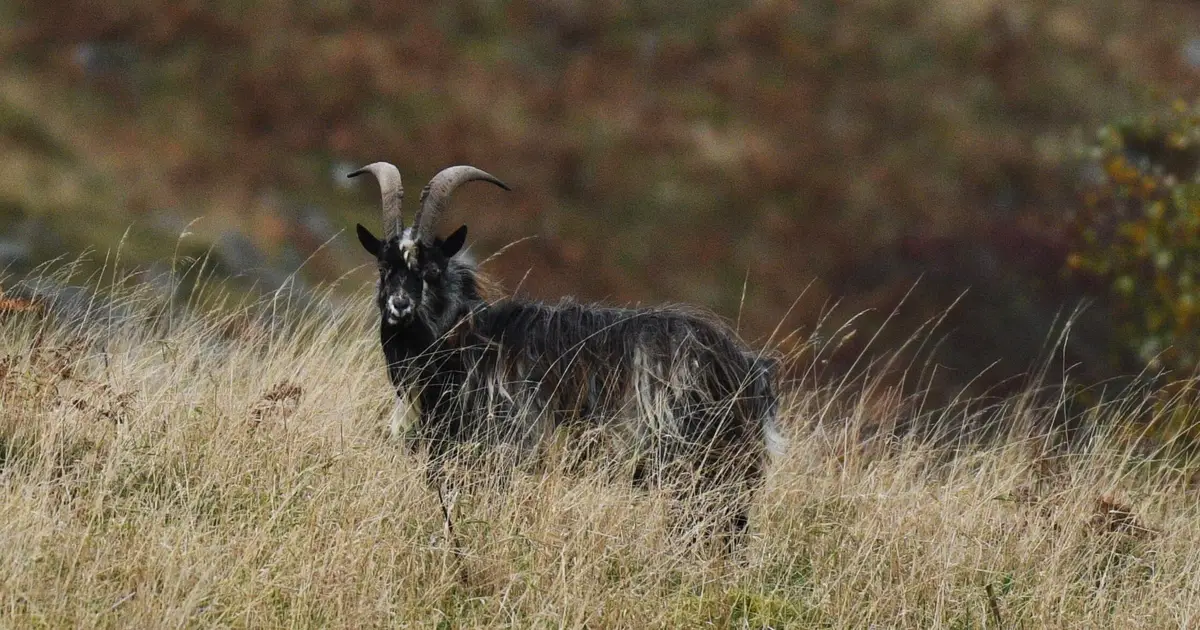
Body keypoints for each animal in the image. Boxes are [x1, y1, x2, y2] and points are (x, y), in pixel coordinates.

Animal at [349, 161, 783, 542]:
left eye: (432, 270)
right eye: (383, 268)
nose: (399, 306)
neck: (468, 342)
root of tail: (748, 370)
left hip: (701, 469)